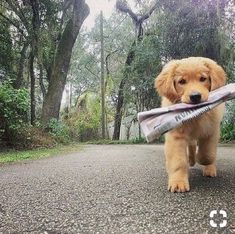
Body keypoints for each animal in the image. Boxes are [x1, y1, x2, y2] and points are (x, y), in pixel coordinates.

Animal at [155, 56, 227, 192]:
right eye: (182, 81)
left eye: (203, 79)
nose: (195, 96)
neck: (195, 114)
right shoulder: (176, 135)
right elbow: (178, 161)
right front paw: (178, 182)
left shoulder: (212, 131)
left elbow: (208, 154)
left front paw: (203, 160)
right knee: (192, 145)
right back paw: (191, 160)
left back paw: (209, 169)